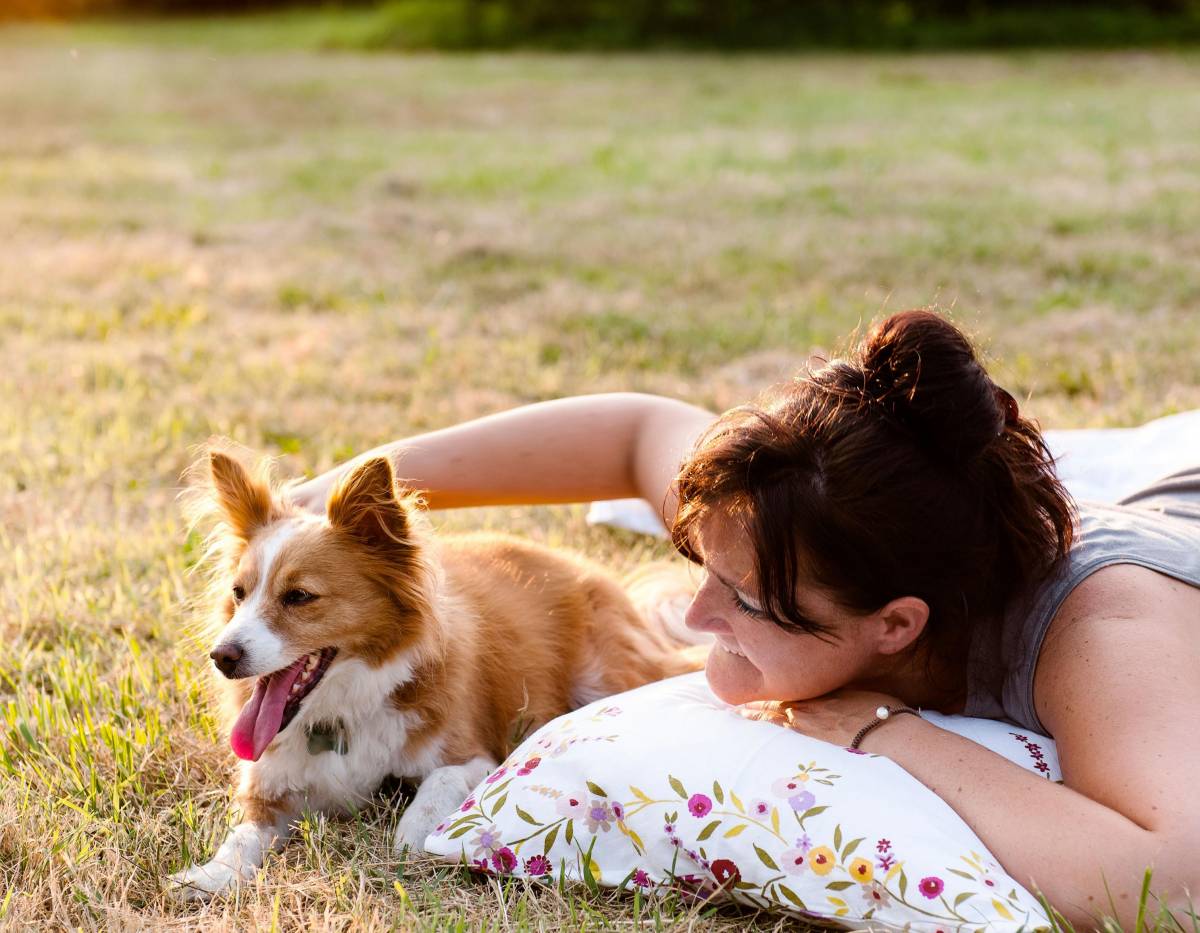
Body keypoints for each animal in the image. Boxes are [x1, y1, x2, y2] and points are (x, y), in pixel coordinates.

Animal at [164, 446, 700, 897]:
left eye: (299, 596)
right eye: (239, 593)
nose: (223, 656)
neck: (345, 711)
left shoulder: (474, 755)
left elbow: (435, 789)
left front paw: (412, 838)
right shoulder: (270, 786)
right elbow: (242, 835)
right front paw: (212, 873)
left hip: (602, 676)